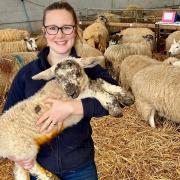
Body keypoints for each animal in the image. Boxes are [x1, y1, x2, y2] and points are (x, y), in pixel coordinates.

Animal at [0, 56, 133, 180]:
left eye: (77, 73)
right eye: (58, 77)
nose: (71, 93)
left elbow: (99, 81)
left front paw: (125, 96)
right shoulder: (78, 97)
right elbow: (96, 89)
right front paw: (114, 106)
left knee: (20, 170)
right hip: (24, 149)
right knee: (31, 167)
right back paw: (50, 177)